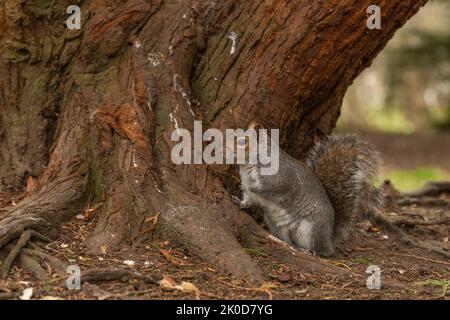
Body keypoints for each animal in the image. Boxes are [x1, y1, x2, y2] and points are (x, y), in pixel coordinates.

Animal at [232, 121, 384, 256]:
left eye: (242, 142)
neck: (248, 166)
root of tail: (329, 239)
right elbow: (248, 200)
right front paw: (239, 201)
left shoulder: (280, 177)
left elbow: (272, 187)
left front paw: (251, 186)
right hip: (277, 225)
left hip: (312, 228)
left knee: (321, 250)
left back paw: (312, 251)